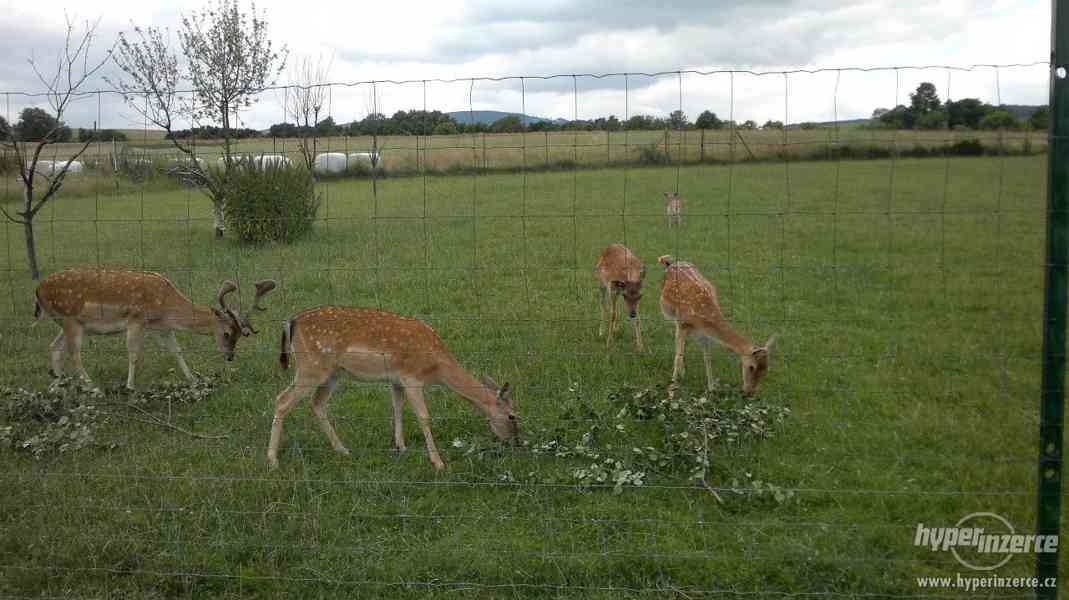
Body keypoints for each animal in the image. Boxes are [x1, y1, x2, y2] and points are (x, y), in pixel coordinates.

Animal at [36, 270, 280, 389]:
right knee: (74, 353)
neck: (166, 305)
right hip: (70, 319)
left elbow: (176, 350)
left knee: (53, 347)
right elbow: (133, 354)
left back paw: (58, 384)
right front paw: (130, 386)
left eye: (240, 335)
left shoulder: (161, 327)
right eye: (227, 333)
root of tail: (37, 290)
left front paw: (193, 380)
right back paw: (91, 385)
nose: (230, 357)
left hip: (68, 323)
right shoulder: (136, 319)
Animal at [267, 305, 517, 470]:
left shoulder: (397, 379)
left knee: (317, 403)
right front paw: (438, 462)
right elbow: (424, 416)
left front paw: (401, 446)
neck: (437, 367)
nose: (514, 440)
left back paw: (342, 450)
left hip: (332, 372)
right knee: (282, 400)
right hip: (311, 366)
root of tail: (291, 322)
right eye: (512, 416)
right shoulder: (412, 376)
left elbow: (397, 408)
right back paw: (272, 460)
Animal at [654, 256, 773, 393]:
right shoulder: (682, 325)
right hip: (671, 315)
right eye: (751, 367)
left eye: (766, 370)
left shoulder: (705, 332)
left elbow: (707, 358)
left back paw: (683, 372)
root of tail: (671, 263)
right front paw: (672, 386)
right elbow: (678, 356)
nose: (750, 392)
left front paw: (711, 388)